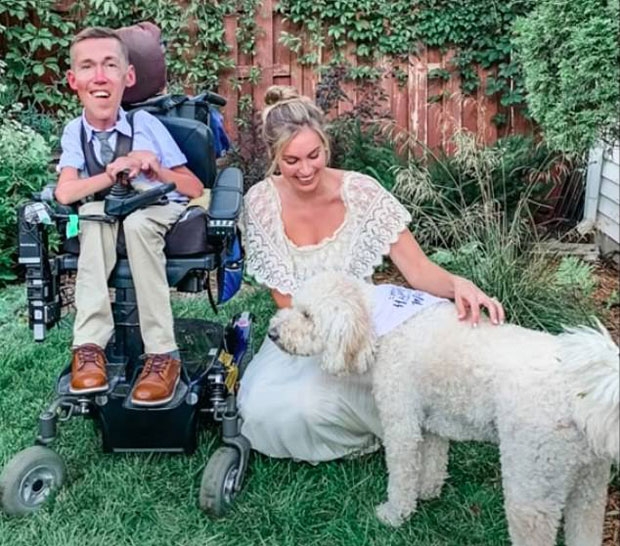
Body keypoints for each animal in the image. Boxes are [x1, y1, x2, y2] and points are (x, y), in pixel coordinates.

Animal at [268, 272, 619, 546]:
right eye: (294, 306)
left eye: (307, 315)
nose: (272, 333)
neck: (380, 322)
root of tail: (582, 389)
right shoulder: (432, 423)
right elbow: (434, 463)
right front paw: (427, 492)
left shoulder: (401, 424)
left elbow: (401, 475)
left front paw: (394, 514)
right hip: (590, 486)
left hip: (532, 488)